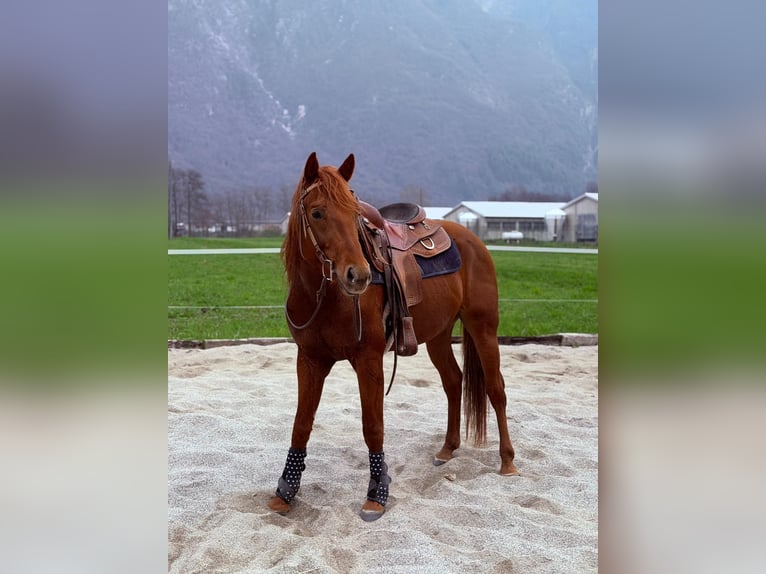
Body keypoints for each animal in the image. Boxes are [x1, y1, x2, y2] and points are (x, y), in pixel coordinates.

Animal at [268, 152, 517, 521]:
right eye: (317, 213)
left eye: (355, 215)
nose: (358, 275)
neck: (325, 297)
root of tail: (470, 238)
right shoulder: (310, 360)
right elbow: (301, 424)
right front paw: (285, 492)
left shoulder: (368, 360)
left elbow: (373, 426)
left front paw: (377, 495)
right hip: (439, 335)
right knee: (453, 381)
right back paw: (447, 449)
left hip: (483, 327)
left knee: (495, 388)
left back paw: (508, 461)